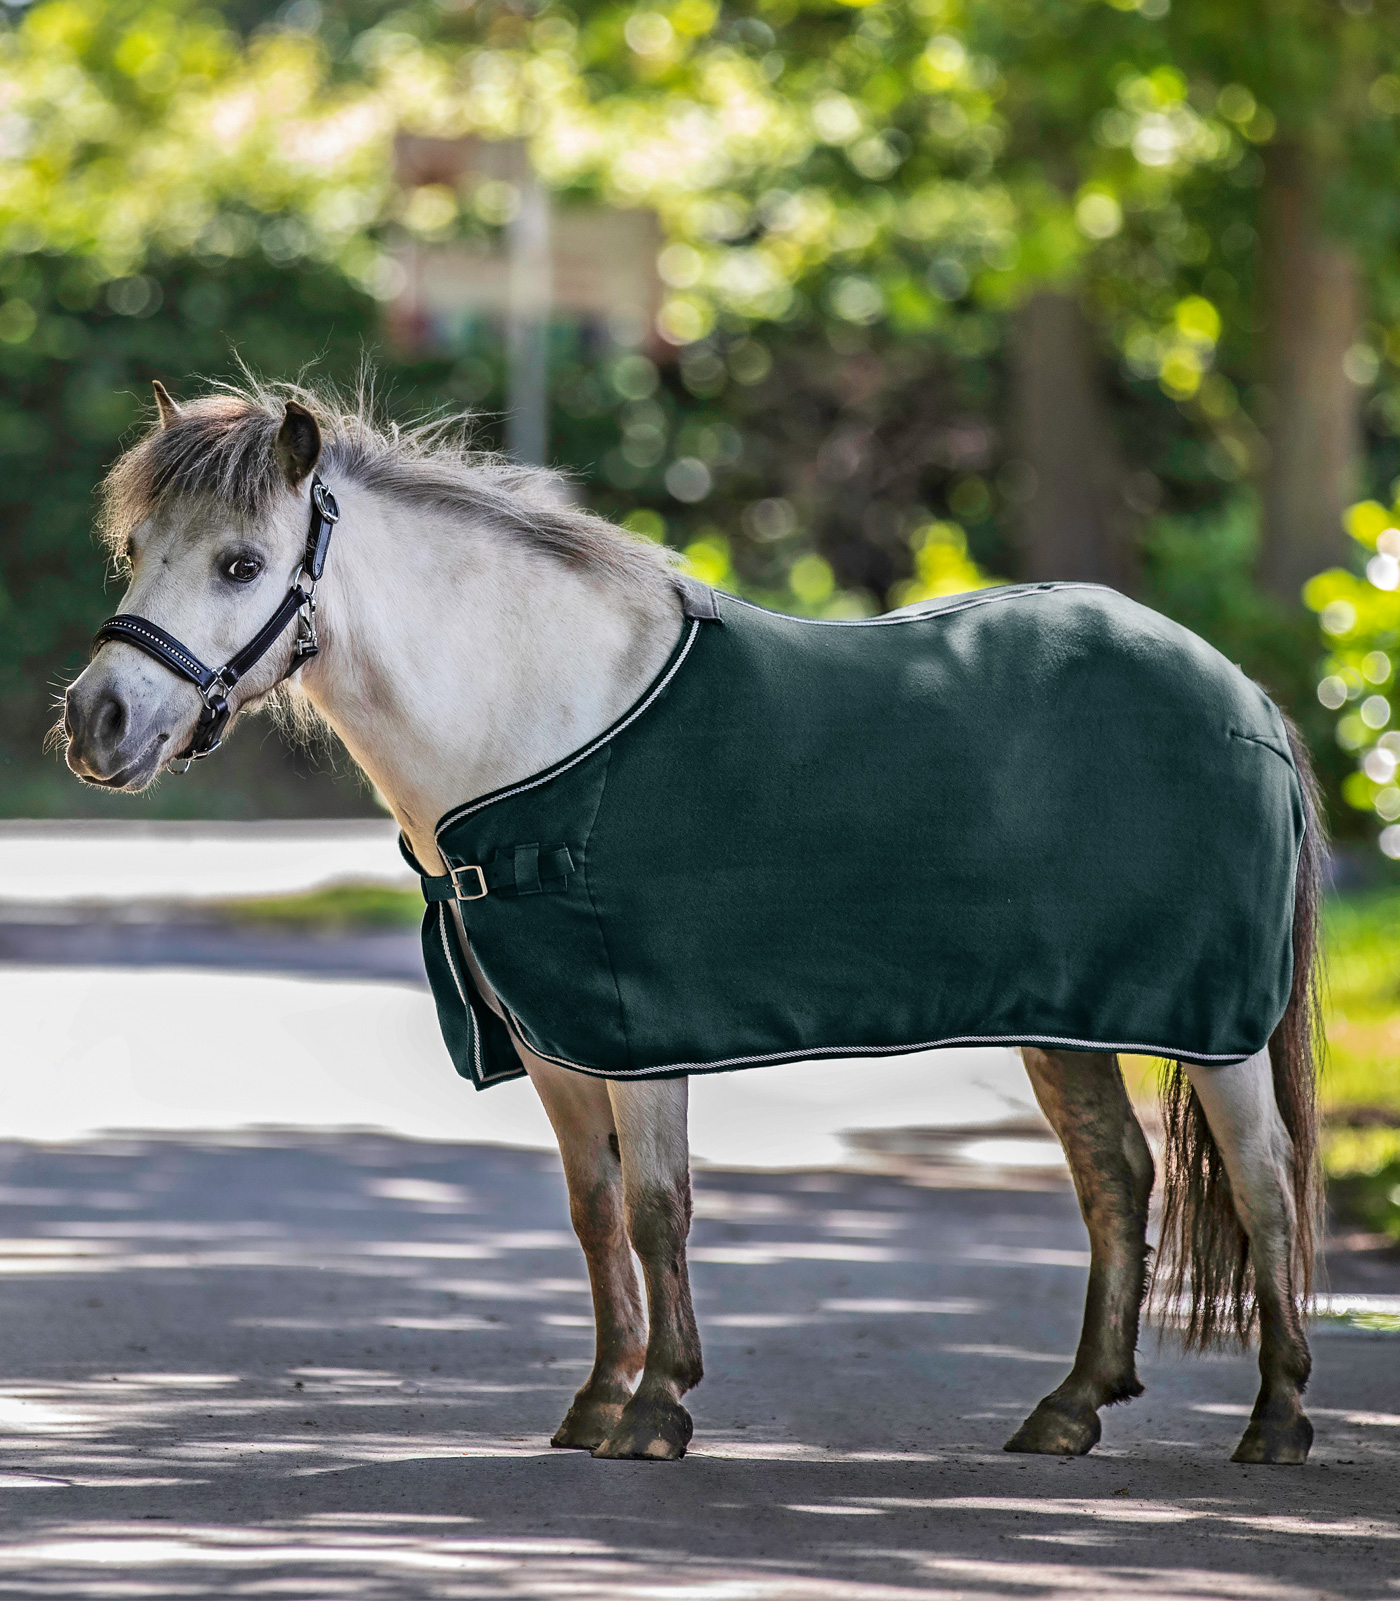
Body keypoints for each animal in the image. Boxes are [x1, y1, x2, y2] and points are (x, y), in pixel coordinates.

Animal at [57, 381, 1319, 1466]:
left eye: (240, 562)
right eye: (137, 549)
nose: (96, 720)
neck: (536, 717)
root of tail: (1241, 694)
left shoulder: (633, 1030)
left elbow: (658, 1208)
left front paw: (657, 1405)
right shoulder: (553, 1040)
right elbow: (592, 1210)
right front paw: (596, 1398)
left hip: (1214, 1027)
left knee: (1264, 1182)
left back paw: (1275, 1419)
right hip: (1068, 1023)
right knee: (1116, 1177)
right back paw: (1069, 1408)